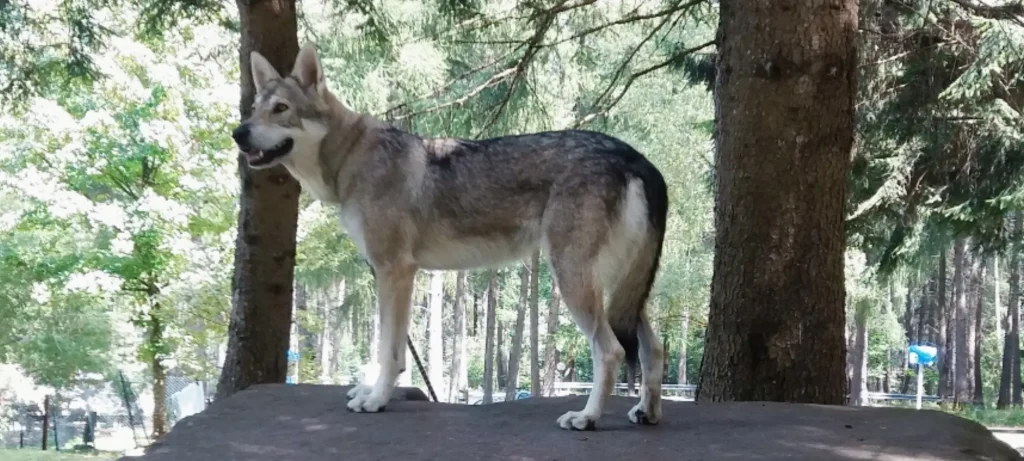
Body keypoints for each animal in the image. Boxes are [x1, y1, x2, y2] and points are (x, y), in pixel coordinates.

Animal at [231, 43, 669, 431]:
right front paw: (371, 393)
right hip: (622, 292)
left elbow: (388, 352)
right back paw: (646, 413)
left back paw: (587, 417)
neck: (351, 157)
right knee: (654, 348)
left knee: (611, 351)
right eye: (253, 110)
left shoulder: (394, 271)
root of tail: (636, 156)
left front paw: (376, 400)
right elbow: (395, 351)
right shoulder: (396, 275)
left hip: (575, 281)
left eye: (281, 109)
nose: (238, 133)